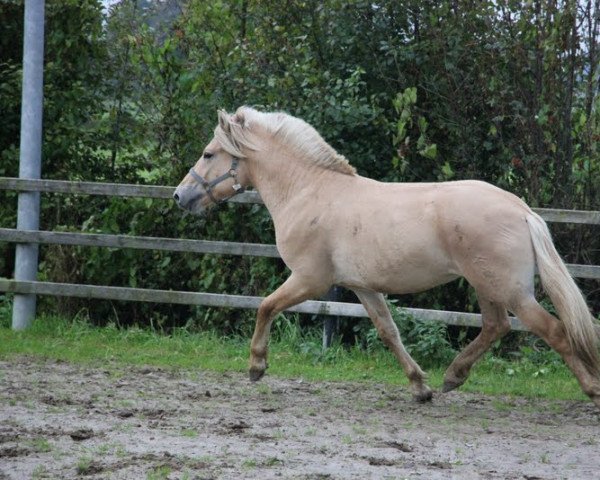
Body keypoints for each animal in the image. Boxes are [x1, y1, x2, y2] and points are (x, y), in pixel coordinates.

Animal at [173, 106, 600, 408]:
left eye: (208, 154)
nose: (180, 196)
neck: (307, 191)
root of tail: (522, 210)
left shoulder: (310, 280)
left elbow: (265, 307)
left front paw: (257, 366)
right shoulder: (363, 288)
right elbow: (388, 332)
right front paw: (420, 387)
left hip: (508, 289)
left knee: (554, 330)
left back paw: (590, 388)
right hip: (488, 286)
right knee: (497, 326)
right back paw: (453, 376)